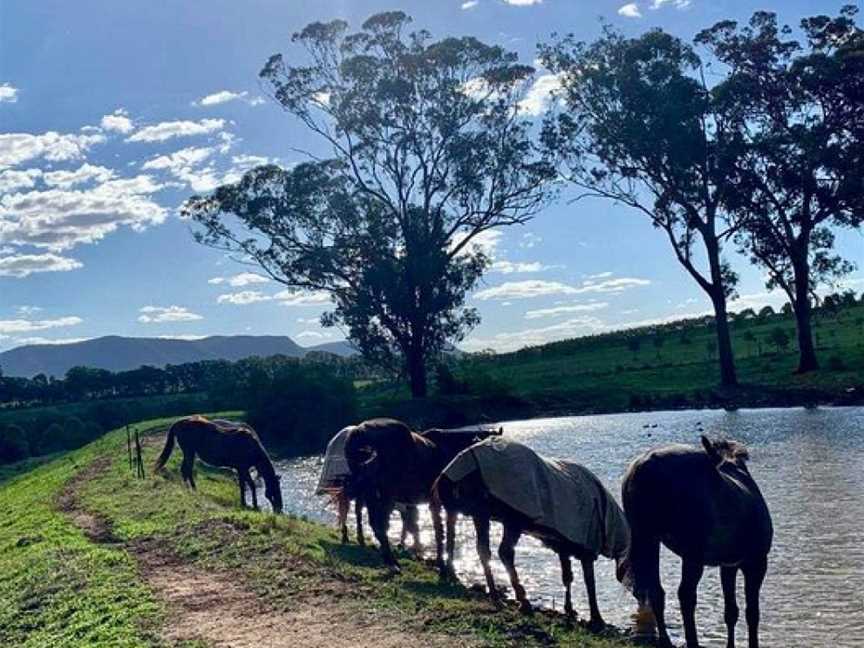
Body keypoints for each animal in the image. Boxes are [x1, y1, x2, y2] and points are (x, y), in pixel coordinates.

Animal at [154, 416, 284, 516]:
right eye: (275, 490)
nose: (280, 509)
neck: (252, 449)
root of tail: (180, 422)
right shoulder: (242, 468)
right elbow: (249, 485)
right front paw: (252, 504)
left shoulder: (241, 469)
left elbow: (245, 485)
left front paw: (247, 503)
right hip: (189, 452)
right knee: (187, 470)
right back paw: (193, 489)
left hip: (189, 453)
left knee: (184, 470)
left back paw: (187, 488)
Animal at [340, 416, 496, 572]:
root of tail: (360, 430)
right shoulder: (445, 505)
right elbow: (444, 533)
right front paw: (445, 566)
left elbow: (432, 530)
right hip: (384, 496)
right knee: (380, 526)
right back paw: (392, 563)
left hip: (372, 495)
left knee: (374, 523)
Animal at [432, 436, 628, 628]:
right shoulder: (586, 545)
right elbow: (589, 581)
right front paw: (596, 617)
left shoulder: (562, 545)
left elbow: (567, 576)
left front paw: (570, 609)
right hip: (511, 517)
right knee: (504, 552)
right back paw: (522, 600)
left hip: (475, 512)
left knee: (474, 547)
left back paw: (491, 594)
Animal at [616, 436, 772, 648]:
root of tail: (646, 464)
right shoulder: (756, 564)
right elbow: (752, 613)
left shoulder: (729, 566)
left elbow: (731, 612)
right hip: (692, 555)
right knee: (686, 595)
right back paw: (692, 642)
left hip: (649, 540)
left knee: (657, 592)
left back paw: (666, 641)